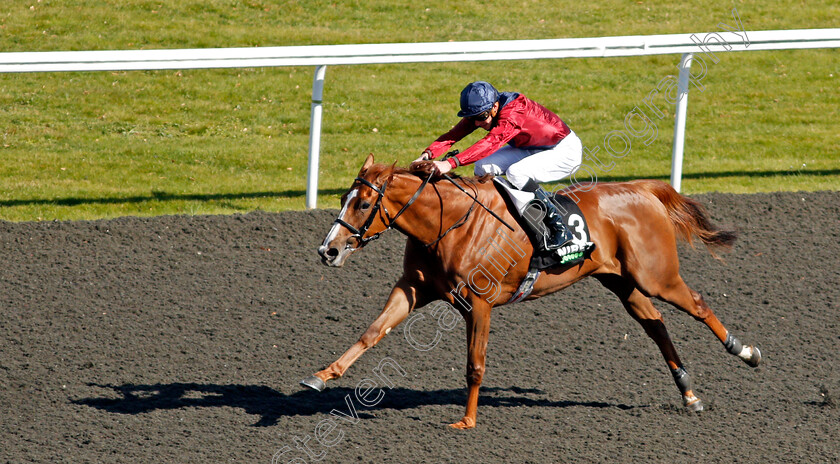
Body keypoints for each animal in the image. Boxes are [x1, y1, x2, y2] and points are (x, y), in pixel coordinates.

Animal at [300, 154, 760, 430]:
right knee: (656, 324)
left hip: (655, 276)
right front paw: (321, 377)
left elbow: (475, 365)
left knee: (697, 305)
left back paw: (745, 352)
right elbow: (371, 333)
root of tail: (643, 189)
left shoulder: (478, 304)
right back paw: (689, 394)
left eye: (362, 204)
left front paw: (467, 421)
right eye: (342, 198)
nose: (328, 250)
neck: (448, 223)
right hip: (620, 280)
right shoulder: (413, 287)